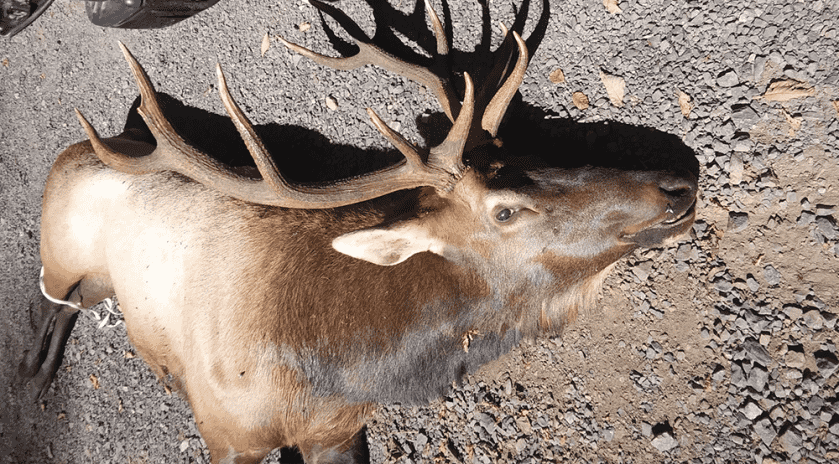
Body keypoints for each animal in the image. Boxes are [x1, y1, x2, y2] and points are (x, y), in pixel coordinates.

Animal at [17, 0, 697, 462]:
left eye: (529, 151)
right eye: (504, 211)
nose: (678, 184)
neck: (336, 369)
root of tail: (87, 145)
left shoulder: (336, 430)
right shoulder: (227, 435)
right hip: (61, 249)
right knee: (49, 299)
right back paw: (33, 370)